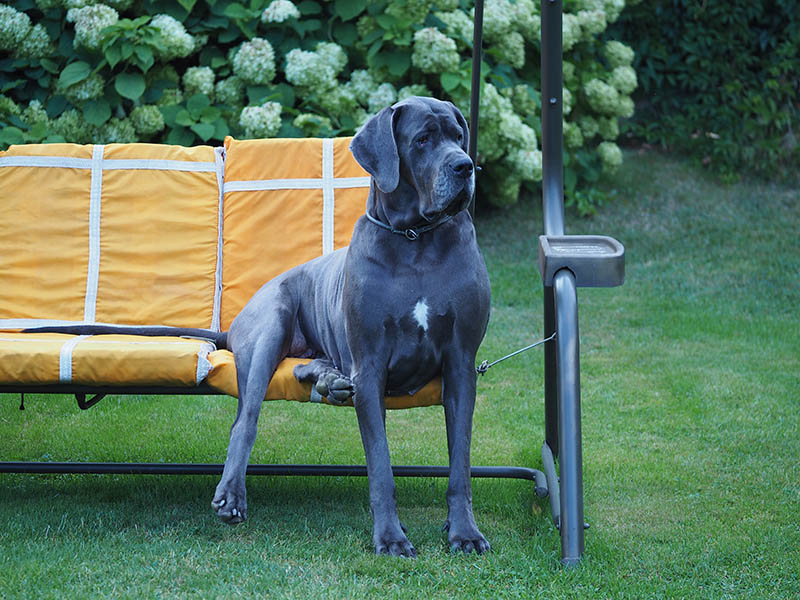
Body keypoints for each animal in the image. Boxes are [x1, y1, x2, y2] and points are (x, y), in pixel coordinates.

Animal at [28, 96, 490, 556]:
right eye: (422, 139)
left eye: (458, 135)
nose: (465, 165)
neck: (416, 241)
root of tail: (232, 326)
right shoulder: (371, 363)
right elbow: (381, 466)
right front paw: (390, 537)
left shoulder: (460, 365)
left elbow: (460, 465)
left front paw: (464, 532)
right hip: (271, 322)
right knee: (245, 419)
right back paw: (232, 493)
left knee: (305, 368)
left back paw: (332, 383)